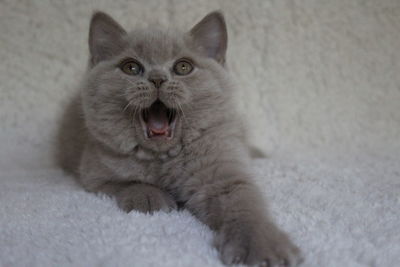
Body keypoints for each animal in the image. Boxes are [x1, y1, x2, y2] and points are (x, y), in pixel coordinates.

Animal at [57, 9, 304, 266]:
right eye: (131, 68)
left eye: (183, 67)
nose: (157, 78)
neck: (162, 157)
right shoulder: (94, 172)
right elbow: (129, 182)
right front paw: (150, 198)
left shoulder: (220, 168)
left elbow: (243, 204)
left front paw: (263, 246)